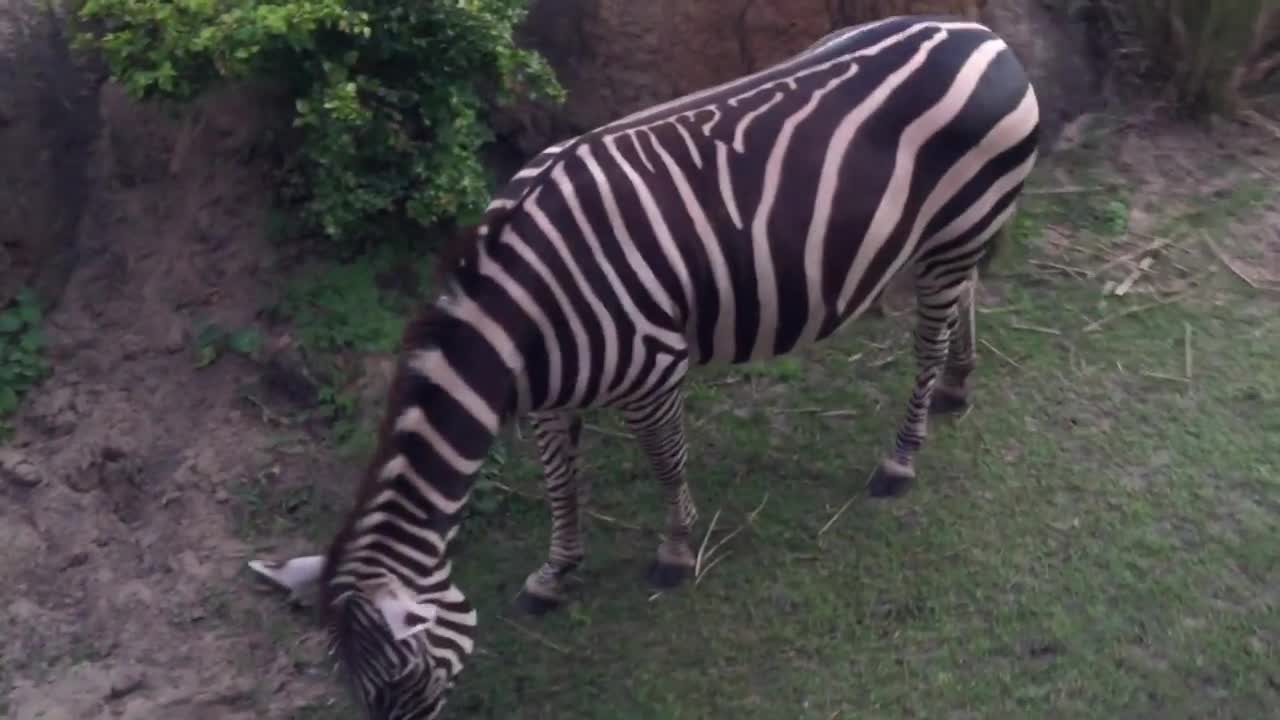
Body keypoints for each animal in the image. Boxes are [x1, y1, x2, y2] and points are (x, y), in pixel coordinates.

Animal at [247, 12, 1039, 717]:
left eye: (402, 682)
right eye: (360, 695)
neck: (517, 320)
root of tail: (984, 35)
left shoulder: (654, 373)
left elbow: (666, 465)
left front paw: (676, 553)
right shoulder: (548, 396)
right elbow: (561, 485)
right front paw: (555, 574)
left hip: (957, 225)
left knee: (927, 341)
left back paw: (901, 457)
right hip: (948, 238)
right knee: (962, 302)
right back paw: (958, 388)